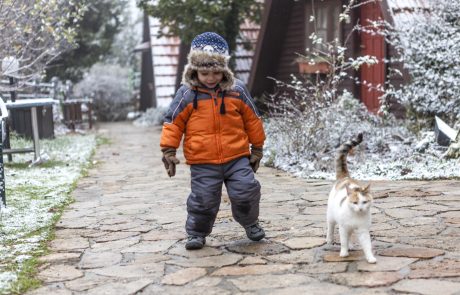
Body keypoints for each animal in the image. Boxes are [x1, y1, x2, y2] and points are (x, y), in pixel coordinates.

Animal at [326, 133, 376, 264]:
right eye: (355, 202)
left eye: (364, 202)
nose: (360, 209)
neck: (356, 216)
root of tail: (345, 177)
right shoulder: (343, 227)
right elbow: (343, 241)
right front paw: (344, 253)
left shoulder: (363, 230)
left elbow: (367, 245)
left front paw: (370, 258)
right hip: (331, 215)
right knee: (330, 226)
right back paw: (329, 240)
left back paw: (351, 245)